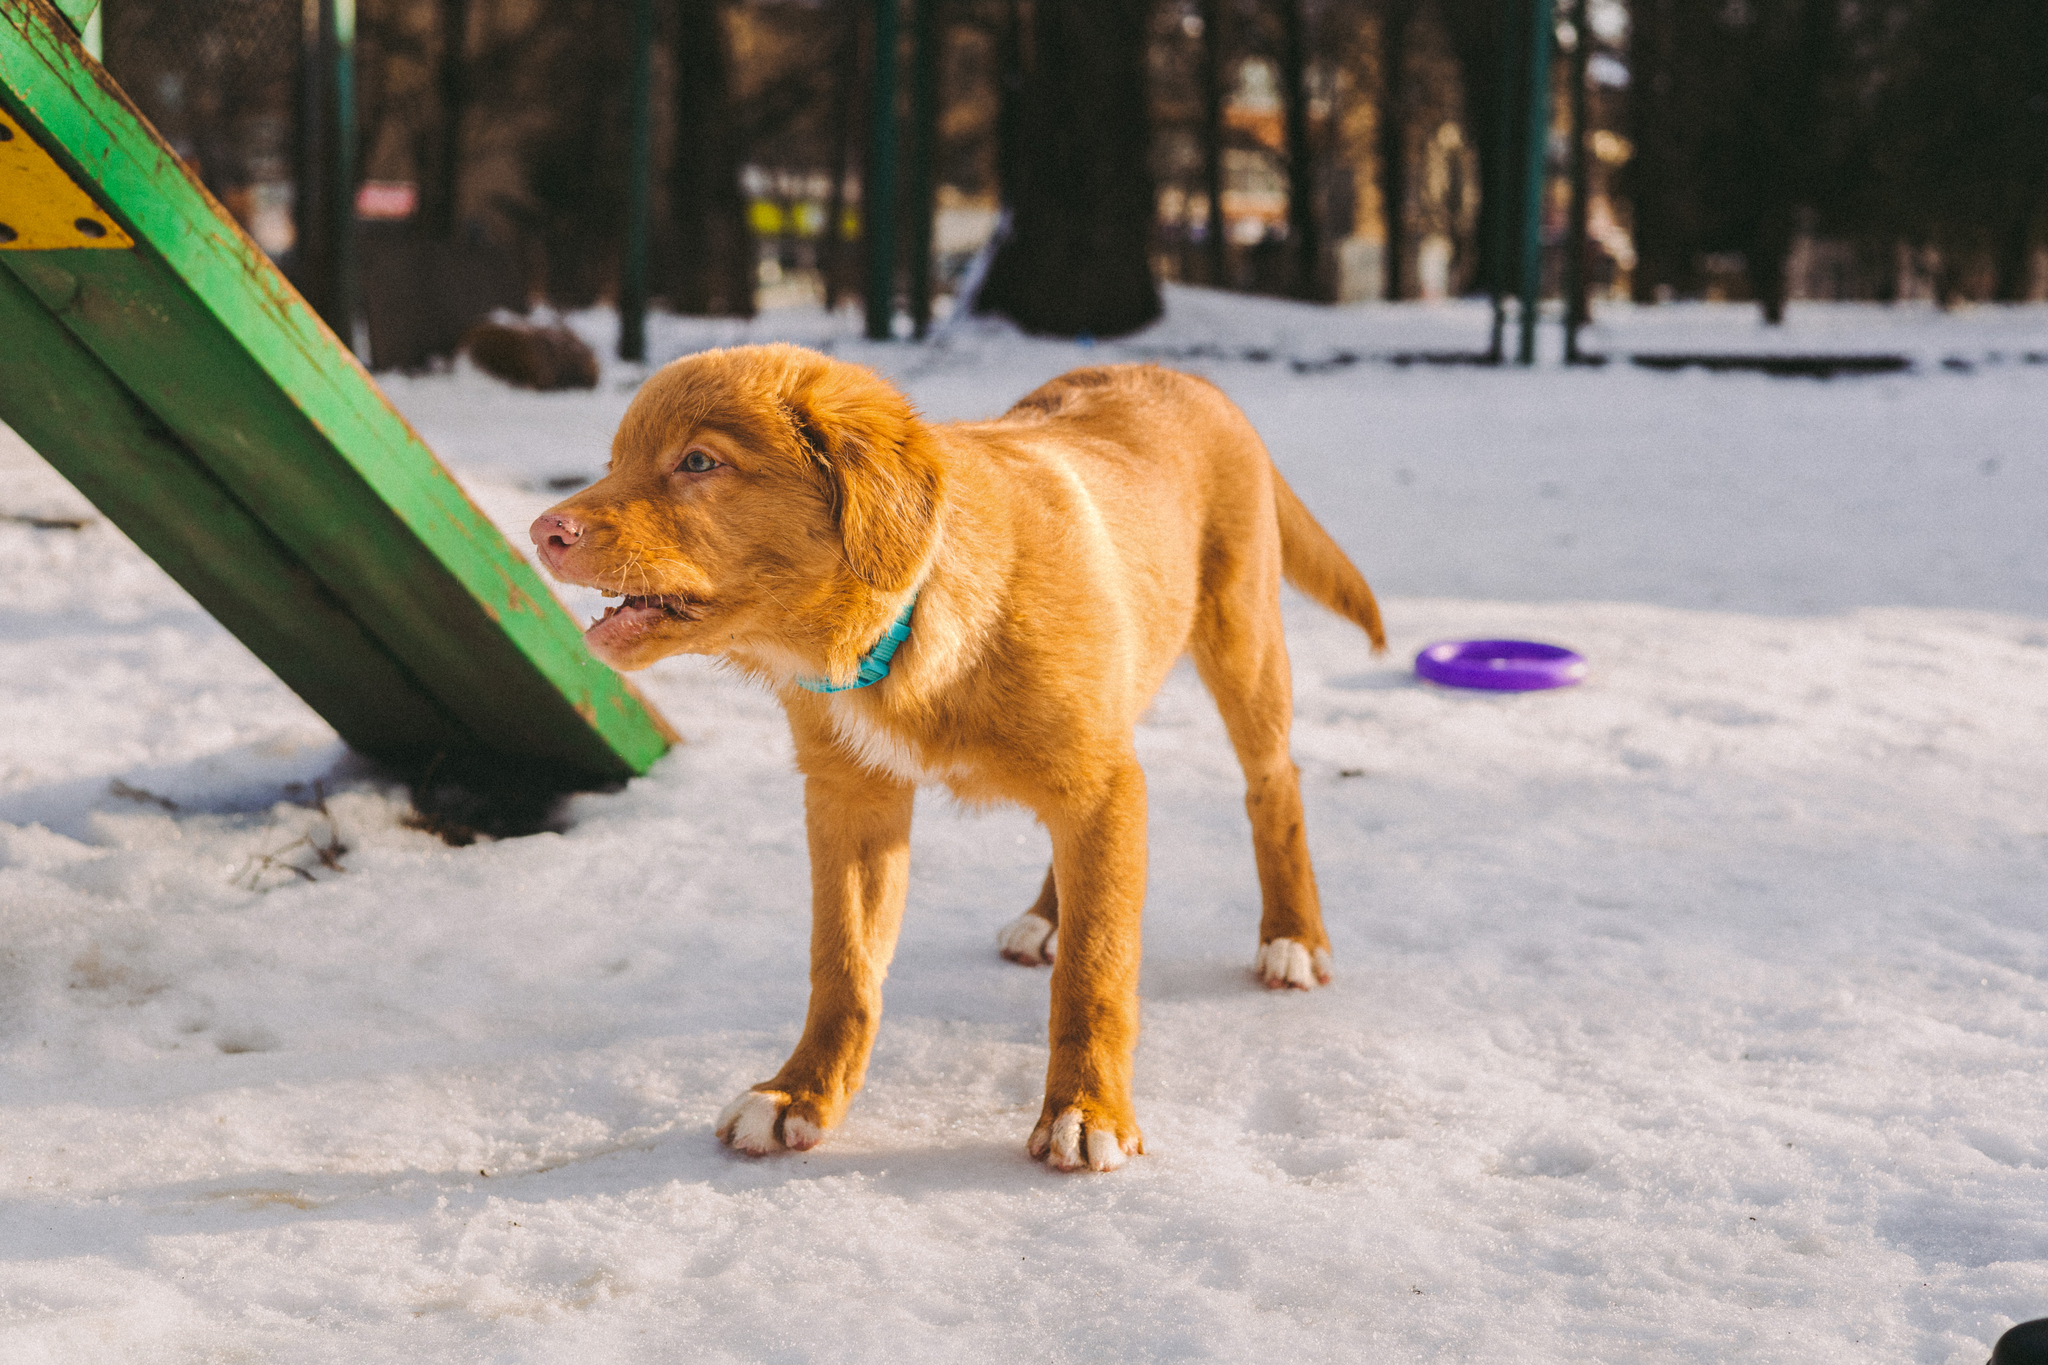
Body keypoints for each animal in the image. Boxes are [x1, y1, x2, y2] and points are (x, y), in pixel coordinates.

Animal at [536, 343, 1384, 1178]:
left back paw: (1292, 937)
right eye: (613, 462)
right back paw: (1048, 914)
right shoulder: (851, 796)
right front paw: (800, 1094)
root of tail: (1183, 375)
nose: (545, 530)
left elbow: (1095, 968)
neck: (904, 626)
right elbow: (843, 965)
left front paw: (1086, 1111)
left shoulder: (1101, 781)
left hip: (1243, 641)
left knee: (1273, 784)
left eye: (699, 461)